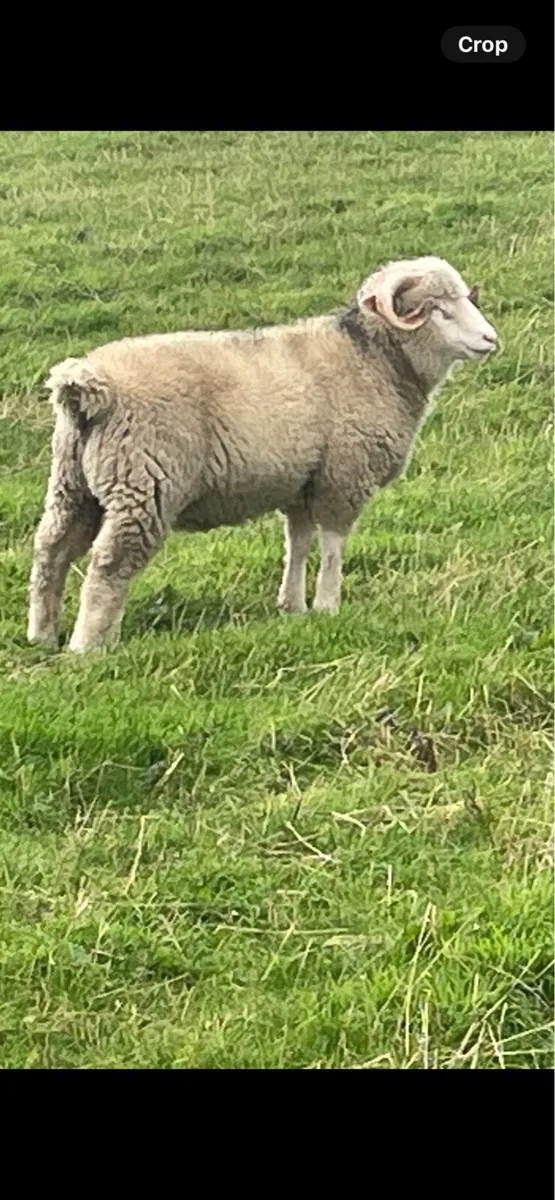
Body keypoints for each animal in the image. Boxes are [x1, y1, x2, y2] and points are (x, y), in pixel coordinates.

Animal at [27, 255, 498, 653]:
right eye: (438, 308)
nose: (490, 338)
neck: (372, 358)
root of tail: (89, 387)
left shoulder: (303, 483)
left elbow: (298, 544)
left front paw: (292, 606)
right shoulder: (344, 477)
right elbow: (332, 546)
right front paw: (328, 605)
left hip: (73, 484)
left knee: (51, 551)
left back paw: (42, 635)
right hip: (144, 484)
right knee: (108, 564)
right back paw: (89, 646)